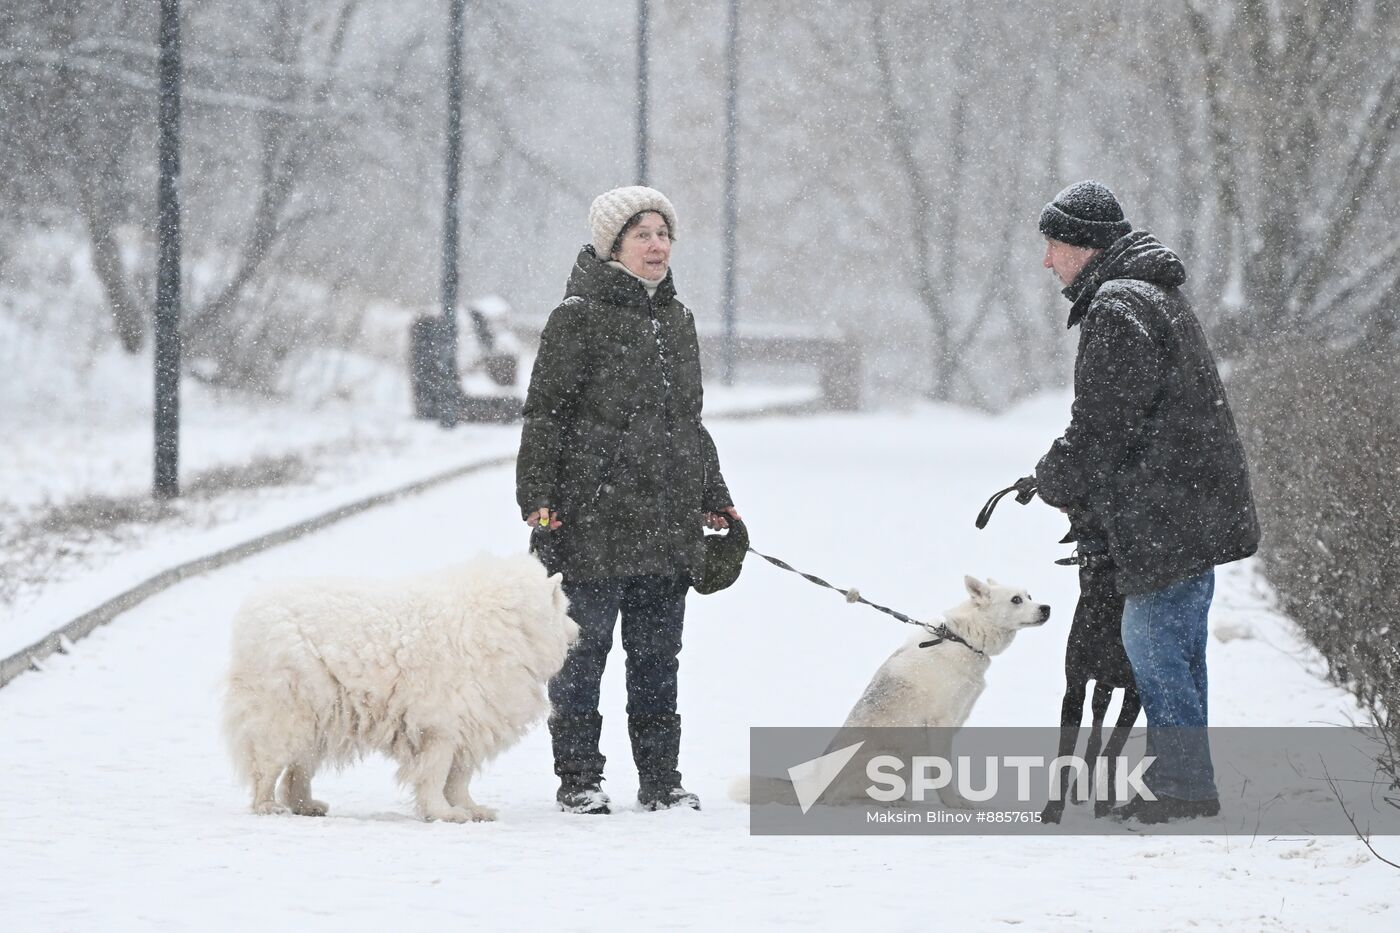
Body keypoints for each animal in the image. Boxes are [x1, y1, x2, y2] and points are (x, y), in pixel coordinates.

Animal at [226, 551, 576, 823]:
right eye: (565, 609)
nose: (578, 629)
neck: (501, 628)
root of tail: (251, 613)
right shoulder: (440, 725)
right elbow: (436, 775)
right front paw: (442, 813)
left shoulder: (471, 722)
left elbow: (458, 779)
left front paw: (470, 809)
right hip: (285, 712)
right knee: (268, 766)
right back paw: (267, 806)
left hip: (320, 716)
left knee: (298, 770)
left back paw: (306, 806)